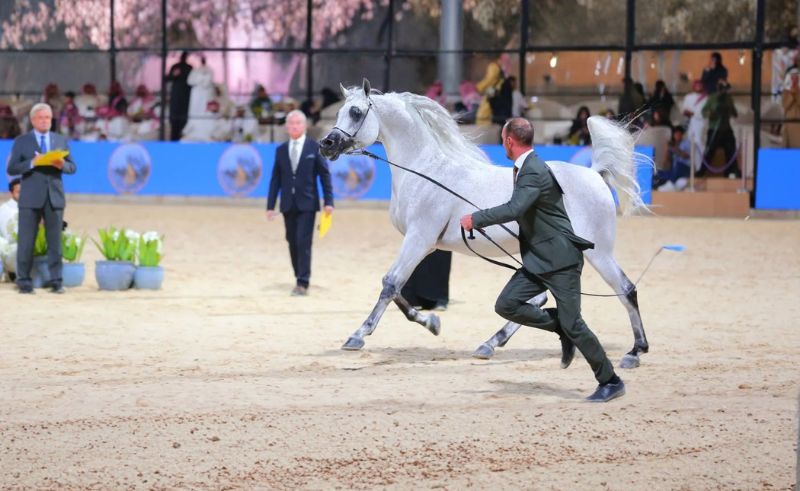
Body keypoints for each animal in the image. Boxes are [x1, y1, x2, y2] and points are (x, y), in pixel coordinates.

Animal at [319, 79, 649, 369]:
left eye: (356, 112)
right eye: (339, 111)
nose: (326, 144)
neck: (426, 170)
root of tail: (595, 174)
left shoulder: (419, 239)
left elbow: (390, 284)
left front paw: (358, 336)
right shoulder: (424, 245)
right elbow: (398, 288)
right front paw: (432, 322)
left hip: (598, 252)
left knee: (626, 289)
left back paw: (635, 352)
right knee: (541, 297)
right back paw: (490, 344)